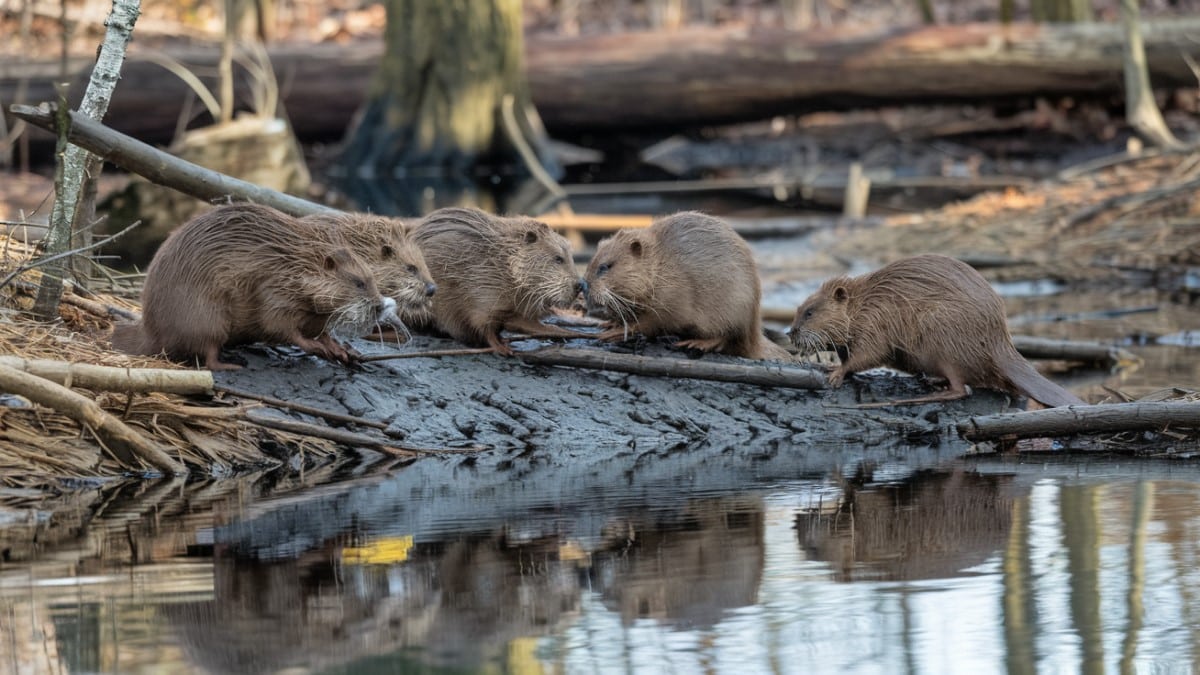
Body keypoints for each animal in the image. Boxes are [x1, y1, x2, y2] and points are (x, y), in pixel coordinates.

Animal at [112, 201, 393, 369]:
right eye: (359, 283)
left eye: (371, 278)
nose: (380, 306)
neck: (295, 263)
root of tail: (149, 333)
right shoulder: (274, 289)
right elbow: (281, 327)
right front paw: (318, 348)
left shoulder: (314, 313)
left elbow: (321, 331)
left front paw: (343, 351)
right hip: (208, 317)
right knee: (207, 354)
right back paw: (231, 363)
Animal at [410, 206, 588, 355]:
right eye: (558, 258)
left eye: (570, 256)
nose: (579, 285)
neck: (503, 261)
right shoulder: (481, 292)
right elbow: (484, 325)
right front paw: (503, 349)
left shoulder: (516, 306)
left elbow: (524, 323)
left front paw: (566, 332)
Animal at [583, 210, 792, 360]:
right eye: (592, 261)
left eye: (605, 266)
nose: (584, 285)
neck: (662, 265)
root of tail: (755, 337)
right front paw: (610, 323)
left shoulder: (673, 296)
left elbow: (652, 322)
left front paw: (614, 333)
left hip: (737, 307)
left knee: (728, 336)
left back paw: (695, 343)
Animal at [787, 253, 1089, 403]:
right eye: (799, 309)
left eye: (810, 312)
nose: (790, 332)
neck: (866, 301)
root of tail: (1002, 347)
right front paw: (830, 364)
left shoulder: (877, 320)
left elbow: (871, 353)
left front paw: (835, 373)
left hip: (942, 332)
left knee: (962, 388)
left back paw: (935, 390)